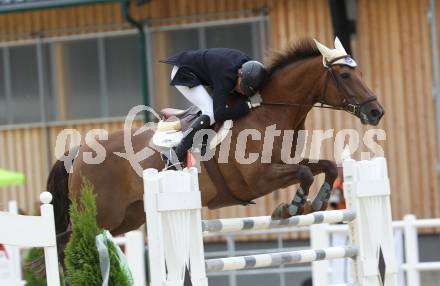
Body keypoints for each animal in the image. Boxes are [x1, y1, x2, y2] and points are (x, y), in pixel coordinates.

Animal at [46, 38, 382, 262]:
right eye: (345, 75)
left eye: (361, 73)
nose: (376, 112)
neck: (267, 111)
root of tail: (78, 152)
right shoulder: (259, 179)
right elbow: (304, 173)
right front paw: (292, 207)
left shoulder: (283, 163)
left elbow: (326, 166)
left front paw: (318, 202)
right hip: (100, 215)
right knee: (67, 245)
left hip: (127, 218)